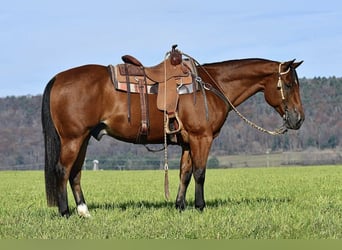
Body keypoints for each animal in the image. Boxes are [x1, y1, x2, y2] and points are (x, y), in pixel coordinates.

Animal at [40, 55, 304, 217]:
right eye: (289, 85)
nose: (298, 119)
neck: (212, 85)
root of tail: (58, 78)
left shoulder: (188, 142)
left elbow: (185, 173)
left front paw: (179, 206)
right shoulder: (201, 138)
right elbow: (200, 173)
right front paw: (200, 207)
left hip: (83, 139)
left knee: (75, 173)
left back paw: (84, 211)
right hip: (73, 139)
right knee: (63, 170)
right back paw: (65, 212)